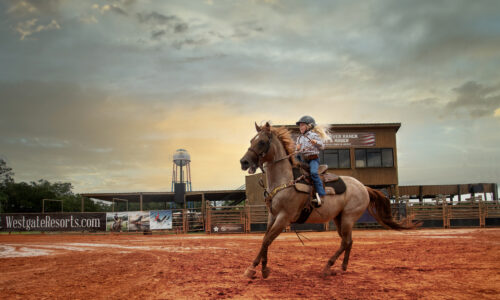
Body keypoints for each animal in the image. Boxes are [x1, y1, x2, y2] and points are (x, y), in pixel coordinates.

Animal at [239, 122, 418, 278]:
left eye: (262, 142)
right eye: (251, 140)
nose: (244, 162)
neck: (285, 180)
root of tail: (364, 187)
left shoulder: (284, 217)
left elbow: (268, 240)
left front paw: (258, 269)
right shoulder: (272, 216)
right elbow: (265, 240)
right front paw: (257, 268)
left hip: (348, 218)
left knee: (345, 242)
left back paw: (327, 267)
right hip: (339, 219)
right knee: (348, 241)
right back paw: (343, 266)